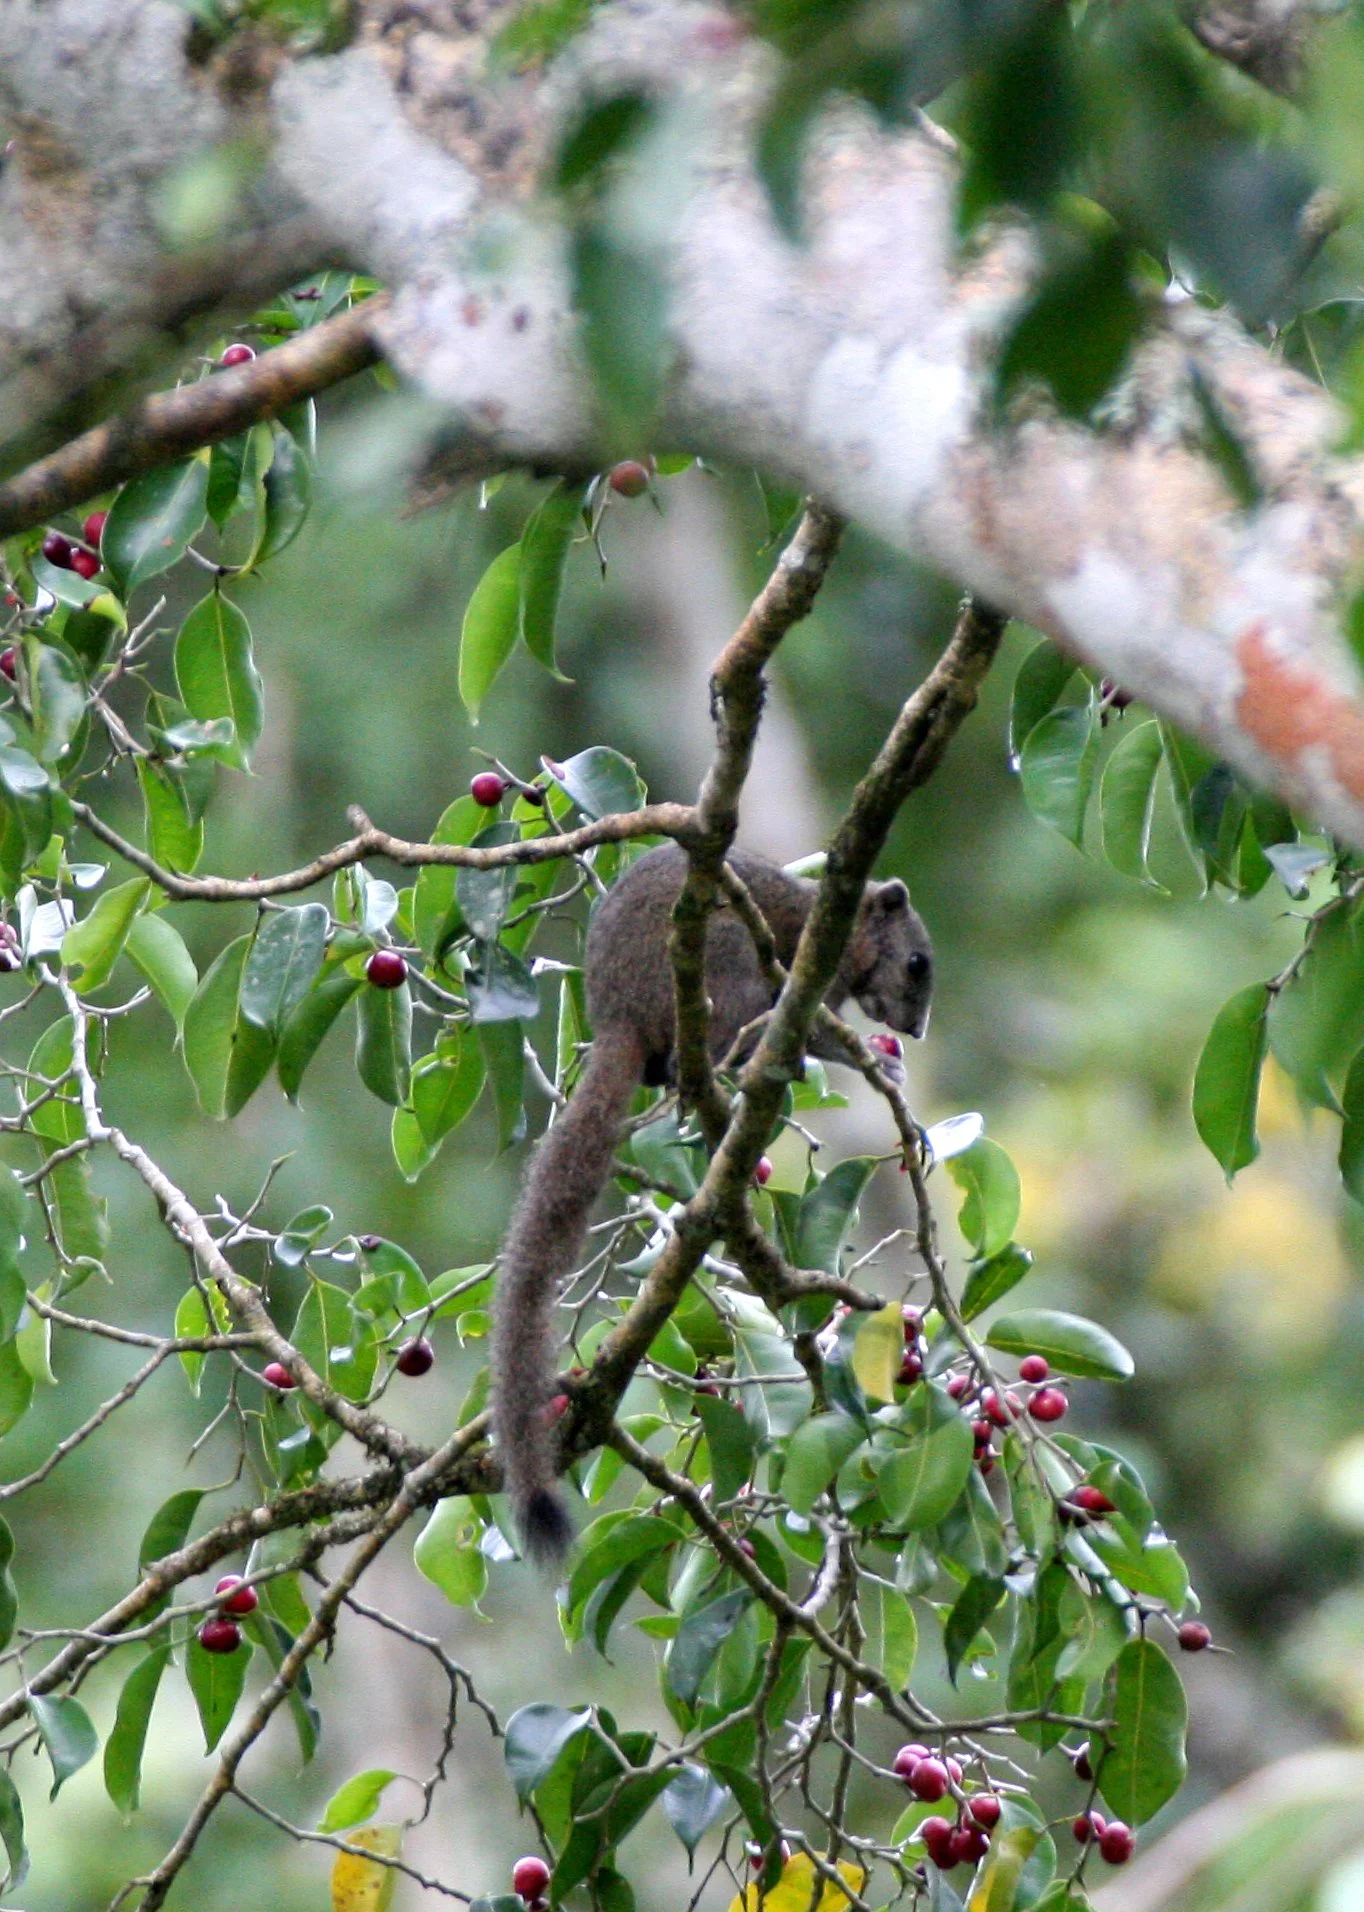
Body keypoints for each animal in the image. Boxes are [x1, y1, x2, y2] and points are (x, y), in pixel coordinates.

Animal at [490, 842, 934, 1565]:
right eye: (917, 962)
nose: (915, 1029)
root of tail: (619, 1015)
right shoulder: (812, 973)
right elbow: (817, 1032)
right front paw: (880, 1063)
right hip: (725, 965)